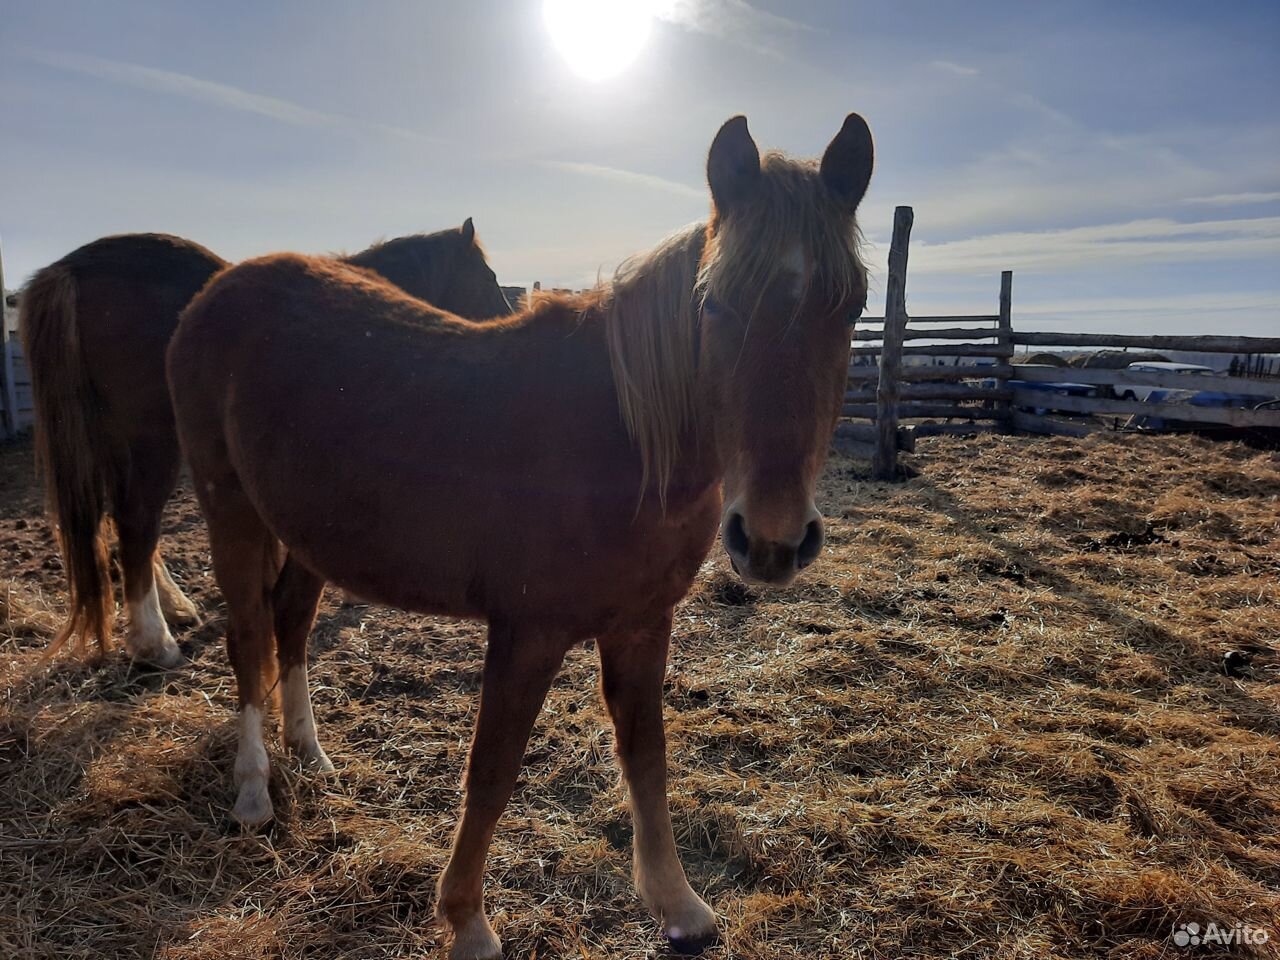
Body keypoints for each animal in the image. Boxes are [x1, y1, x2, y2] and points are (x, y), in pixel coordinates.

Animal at [20, 221, 509, 665]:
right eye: (488, 278)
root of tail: (71, 268)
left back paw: (176, 609)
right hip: (151, 439)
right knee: (136, 519)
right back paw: (154, 642)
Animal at [165, 118, 875, 960]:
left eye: (854, 306)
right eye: (714, 304)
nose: (770, 539)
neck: (620, 438)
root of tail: (219, 289)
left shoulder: (644, 623)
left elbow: (647, 756)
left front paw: (678, 905)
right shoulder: (527, 631)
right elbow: (493, 773)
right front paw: (468, 921)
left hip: (305, 534)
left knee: (291, 627)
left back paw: (309, 753)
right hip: (232, 510)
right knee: (248, 636)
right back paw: (252, 790)